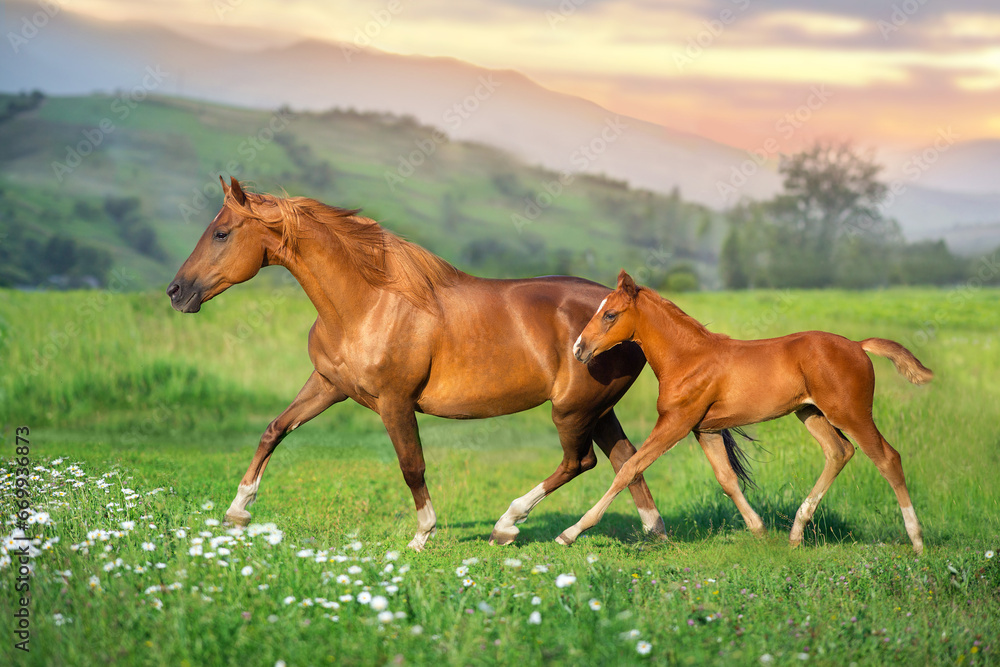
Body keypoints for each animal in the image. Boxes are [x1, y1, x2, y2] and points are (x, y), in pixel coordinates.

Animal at [560, 268, 932, 556]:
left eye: (610, 314)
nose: (579, 349)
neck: (688, 358)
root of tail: (858, 345)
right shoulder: (705, 429)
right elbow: (727, 480)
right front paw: (760, 532)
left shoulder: (677, 423)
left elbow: (629, 468)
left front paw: (570, 532)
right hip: (810, 413)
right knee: (839, 451)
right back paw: (795, 534)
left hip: (851, 413)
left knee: (887, 458)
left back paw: (916, 542)